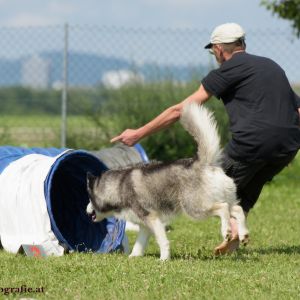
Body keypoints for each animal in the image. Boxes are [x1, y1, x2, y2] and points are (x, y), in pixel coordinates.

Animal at [86, 103, 248, 260]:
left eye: (89, 199)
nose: (86, 211)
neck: (117, 187)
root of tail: (202, 163)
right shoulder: (145, 225)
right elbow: (139, 243)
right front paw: (133, 257)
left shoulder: (153, 219)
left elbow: (162, 241)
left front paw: (164, 259)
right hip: (219, 199)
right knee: (237, 209)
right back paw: (243, 234)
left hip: (194, 208)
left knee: (223, 207)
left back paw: (226, 230)